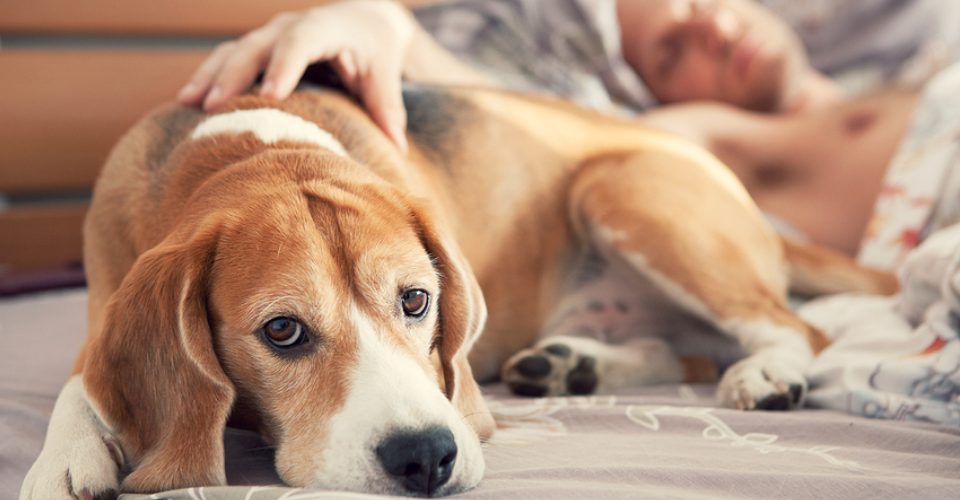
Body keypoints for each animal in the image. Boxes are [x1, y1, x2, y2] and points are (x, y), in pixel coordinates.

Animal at [20, 84, 892, 498]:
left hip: (622, 188)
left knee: (793, 331)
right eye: (281, 332)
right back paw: (572, 365)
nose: (427, 458)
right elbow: (83, 380)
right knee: (685, 350)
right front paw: (64, 457)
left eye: (416, 301)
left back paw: (765, 373)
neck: (251, 143)